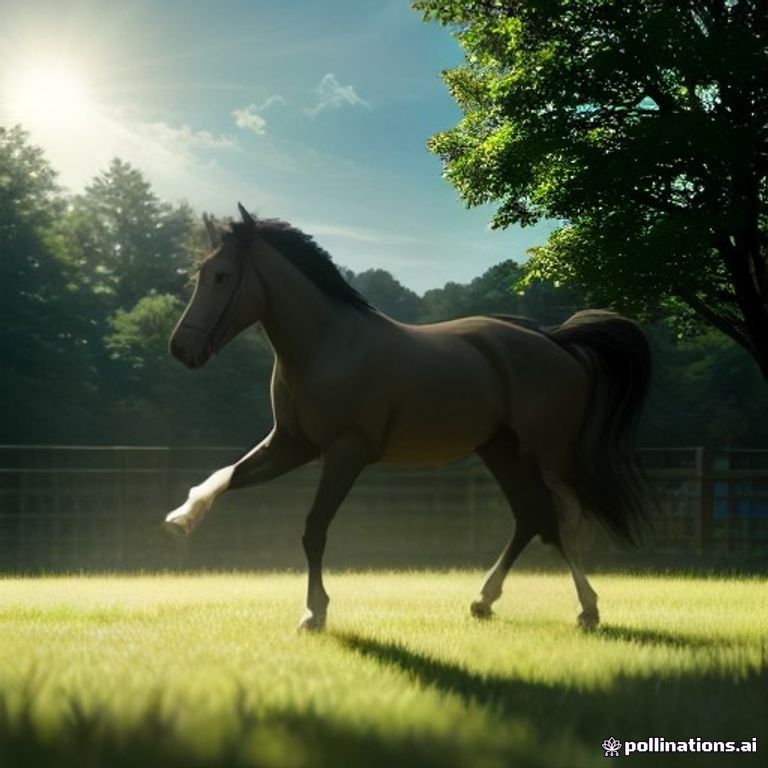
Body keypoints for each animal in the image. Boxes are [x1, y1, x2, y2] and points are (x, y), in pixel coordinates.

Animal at [166, 204, 651, 632]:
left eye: (223, 276)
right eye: (200, 274)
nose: (181, 349)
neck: (326, 345)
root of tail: (555, 341)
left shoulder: (345, 452)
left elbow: (314, 529)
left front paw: (314, 612)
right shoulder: (291, 444)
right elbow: (227, 475)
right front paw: (183, 517)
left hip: (548, 453)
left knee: (562, 520)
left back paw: (587, 609)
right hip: (500, 449)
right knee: (532, 516)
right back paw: (484, 601)